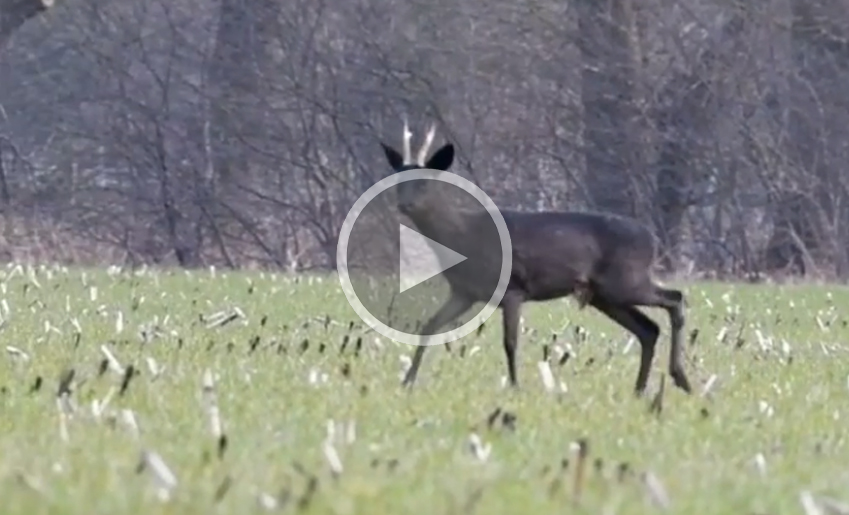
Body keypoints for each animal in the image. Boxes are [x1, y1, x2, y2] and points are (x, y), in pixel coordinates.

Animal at [380, 123, 692, 398]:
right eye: (397, 182)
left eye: (424, 182)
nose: (404, 204)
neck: (463, 237)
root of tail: (653, 239)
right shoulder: (465, 293)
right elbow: (428, 327)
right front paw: (407, 381)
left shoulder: (513, 288)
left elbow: (510, 342)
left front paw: (515, 386)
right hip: (604, 295)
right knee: (649, 329)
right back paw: (641, 390)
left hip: (626, 280)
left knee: (675, 298)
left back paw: (680, 378)